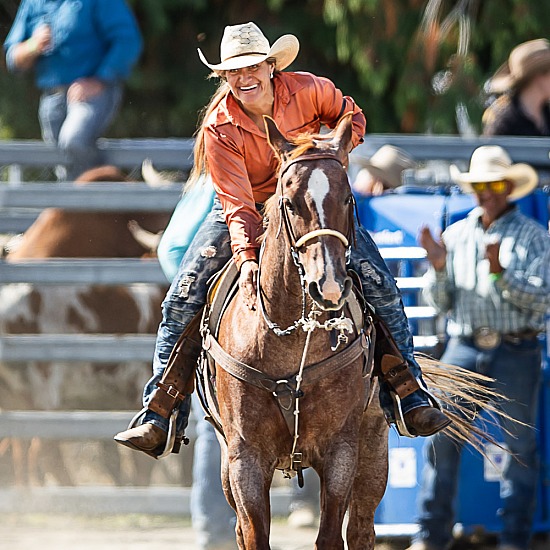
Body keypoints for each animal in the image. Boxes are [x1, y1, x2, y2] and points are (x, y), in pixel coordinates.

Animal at [202, 113, 388, 550]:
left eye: (348, 199)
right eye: (290, 202)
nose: (329, 286)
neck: (289, 340)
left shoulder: (341, 450)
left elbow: (331, 535)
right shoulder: (244, 458)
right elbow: (255, 535)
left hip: (375, 447)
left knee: (362, 529)